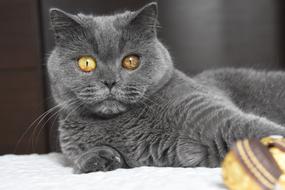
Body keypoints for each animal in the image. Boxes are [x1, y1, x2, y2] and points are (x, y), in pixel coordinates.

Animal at [47, 1, 285, 174]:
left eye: (131, 61)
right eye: (86, 63)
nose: (110, 81)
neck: (118, 124)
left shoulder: (215, 116)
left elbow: (262, 130)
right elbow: (79, 160)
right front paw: (98, 158)